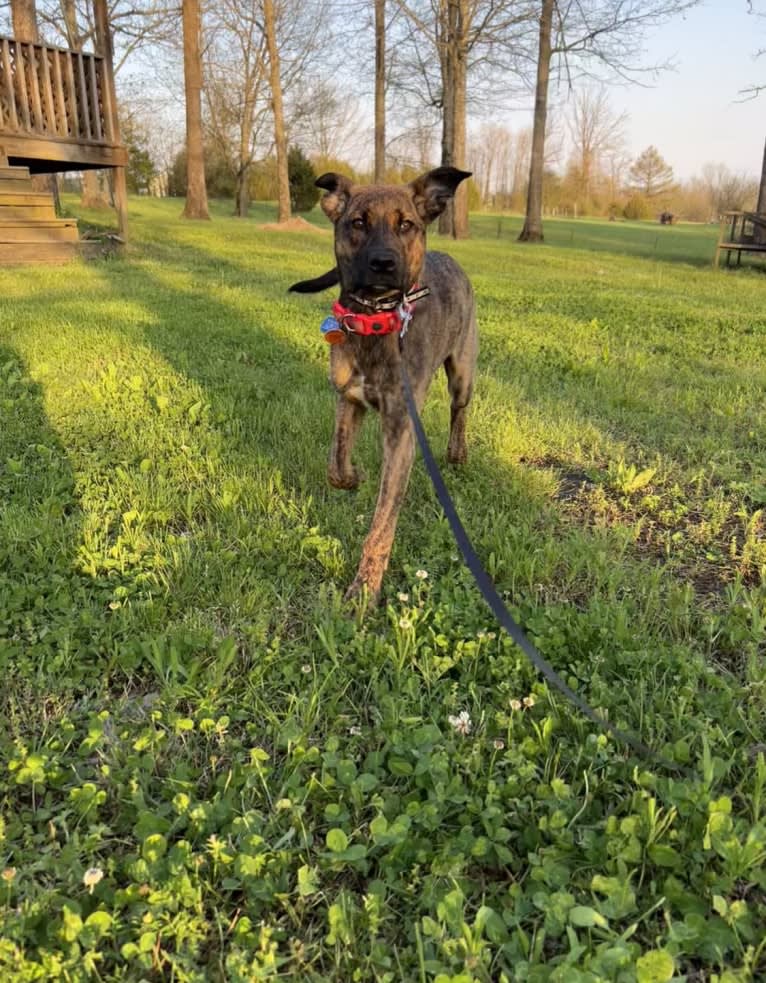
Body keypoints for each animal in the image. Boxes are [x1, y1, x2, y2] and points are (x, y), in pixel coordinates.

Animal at [292, 165, 476, 604]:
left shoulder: (400, 428)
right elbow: (336, 463)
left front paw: (364, 590)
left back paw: (457, 452)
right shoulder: (348, 399)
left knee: (459, 409)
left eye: (406, 225)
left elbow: (380, 526)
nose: (383, 262)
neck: (377, 321)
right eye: (358, 223)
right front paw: (354, 477)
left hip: (463, 372)